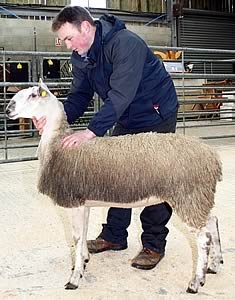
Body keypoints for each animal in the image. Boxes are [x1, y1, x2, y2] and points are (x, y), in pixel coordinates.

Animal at [4, 79, 223, 292]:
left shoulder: (74, 201)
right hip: (198, 197)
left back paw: (196, 282)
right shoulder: (84, 203)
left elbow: (76, 238)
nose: (7, 109)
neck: (57, 144)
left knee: (203, 238)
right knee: (212, 221)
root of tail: (211, 156)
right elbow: (84, 232)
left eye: (33, 95)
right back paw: (214, 265)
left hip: (188, 195)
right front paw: (84, 260)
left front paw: (74, 278)